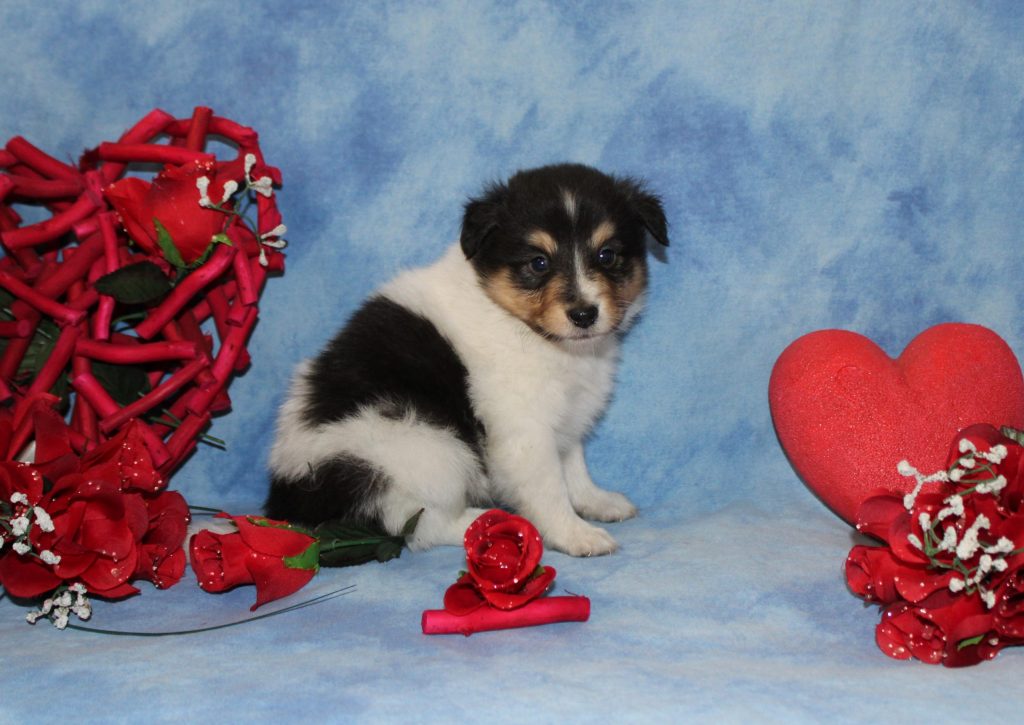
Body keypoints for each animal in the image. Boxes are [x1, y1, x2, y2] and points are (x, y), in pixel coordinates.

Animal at [265, 163, 668, 556]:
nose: (584, 314)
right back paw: (487, 521)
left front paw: (596, 501)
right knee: (416, 525)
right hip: (420, 446)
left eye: (607, 255)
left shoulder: (567, 412)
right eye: (538, 263)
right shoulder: (522, 428)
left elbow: (573, 464)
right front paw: (576, 534)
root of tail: (290, 498)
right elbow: (549, 486)